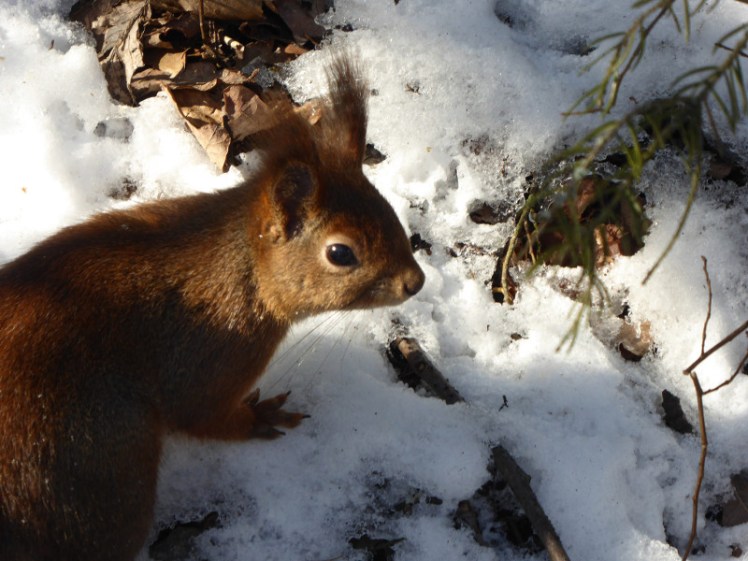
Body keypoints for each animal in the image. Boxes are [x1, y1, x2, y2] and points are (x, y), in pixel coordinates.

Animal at [0, 55, 424, 561]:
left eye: (390, 213)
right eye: (341, 253)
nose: (416, 281)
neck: (240, 268)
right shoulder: (209, 358)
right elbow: (203, 415)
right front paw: (258, 418)